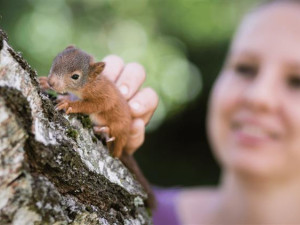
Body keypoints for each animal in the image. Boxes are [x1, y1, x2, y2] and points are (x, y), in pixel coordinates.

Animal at [39, 45, 156, 209]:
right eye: (55, 61)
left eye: (75, 76)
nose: (51, 83)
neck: (90, 83)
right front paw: (44, 82)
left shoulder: (103, 95)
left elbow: (94, 105)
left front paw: (69, 104)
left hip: (119, 129)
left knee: (115, 150)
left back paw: (105, 132)